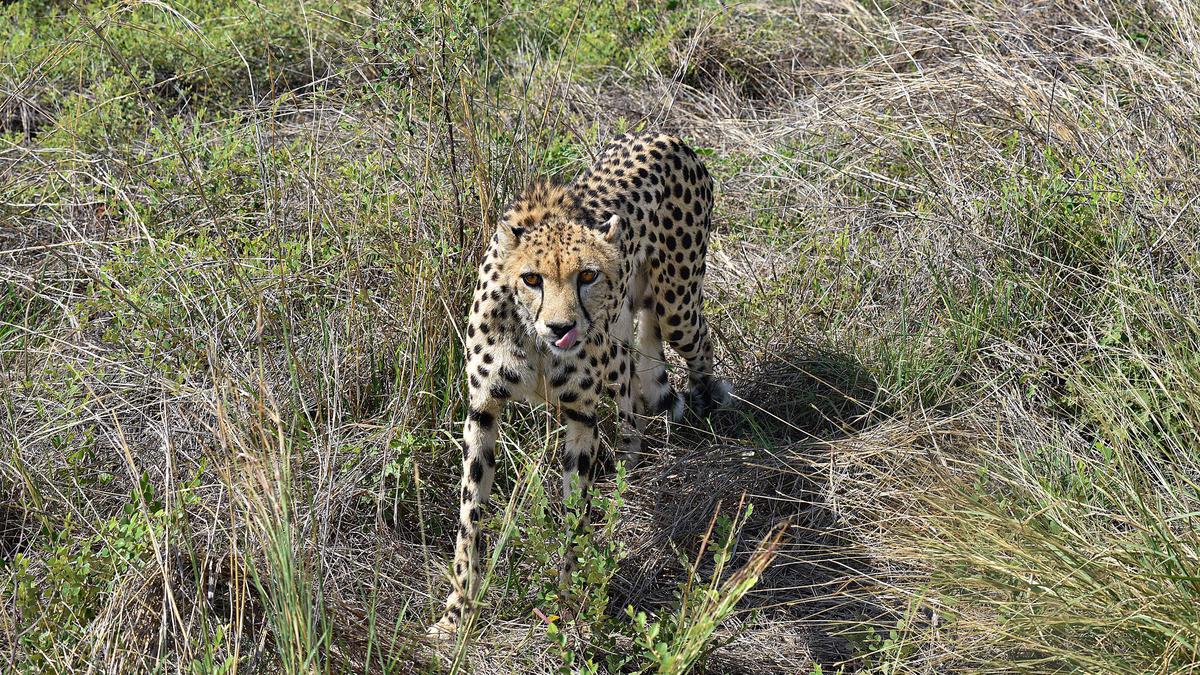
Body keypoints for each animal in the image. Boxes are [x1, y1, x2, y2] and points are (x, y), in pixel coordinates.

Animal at [432, 131, 729, 634]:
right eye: (531, 278)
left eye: (587, 275)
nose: (562, 328)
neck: (533, 339)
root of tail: (663, 135)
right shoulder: (483, 410)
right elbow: (470, 517)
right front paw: (457, 613)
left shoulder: (581, 417)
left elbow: (575, 516)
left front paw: (570, 602)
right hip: (628, 333)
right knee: (633, 386)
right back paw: (631, 465)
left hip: (677, 306)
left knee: (698, 347)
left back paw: (704, 412)